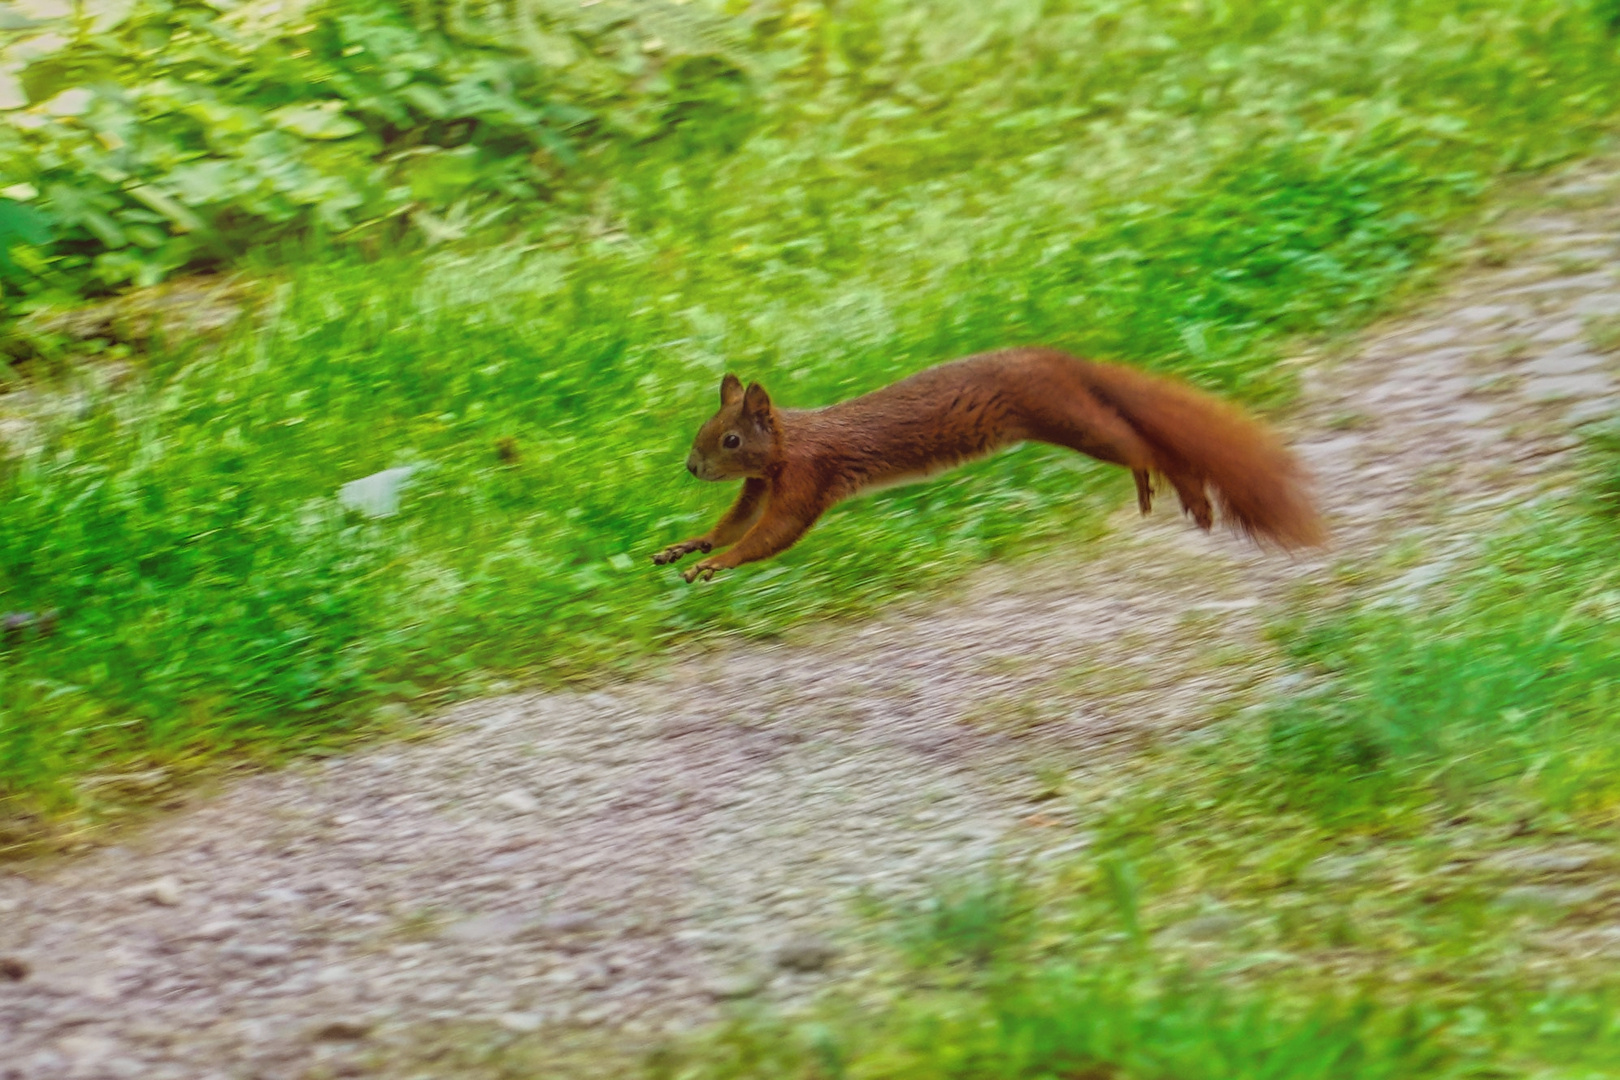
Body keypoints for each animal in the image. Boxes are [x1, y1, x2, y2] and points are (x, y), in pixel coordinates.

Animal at [651, 348, 1321, 582]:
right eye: (704, 432)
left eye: (729, 440)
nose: (690, 468)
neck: (788, 446)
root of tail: (1057, 359)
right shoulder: (761, 484)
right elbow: (736, 523)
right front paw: (689, 546)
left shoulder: (809, 476)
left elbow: (774, 534)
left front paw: (715, 565)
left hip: (1064, 417)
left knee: (1143, 446)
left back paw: (1180, 487)